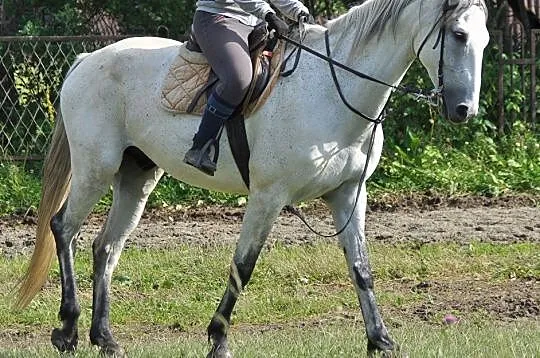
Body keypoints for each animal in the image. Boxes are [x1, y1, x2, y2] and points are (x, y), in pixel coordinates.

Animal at [15, 0, 490, 356]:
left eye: (484, 39)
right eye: (458, 35)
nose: (463, 110)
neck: (333, 89)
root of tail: (87, 59)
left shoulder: (348, 194)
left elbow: (361, 268)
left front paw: (381, 341)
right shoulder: (267, 196)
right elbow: (243, 265)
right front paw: (218, 339)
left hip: (136, 178)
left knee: (106, 246)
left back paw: (105, 338)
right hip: (95, 168)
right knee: (64, 229)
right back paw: (68, 330)